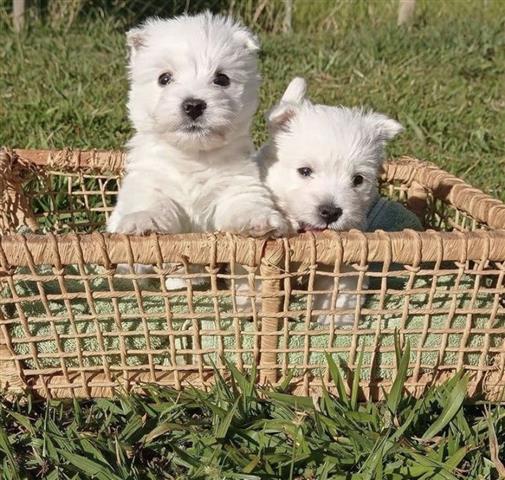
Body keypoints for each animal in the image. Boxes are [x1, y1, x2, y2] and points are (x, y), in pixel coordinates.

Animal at [106, 12, 288, 288]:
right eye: (164, 78)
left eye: (222, 79)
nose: (193, 105)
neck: (193, 155)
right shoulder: (152, 181)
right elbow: (153, 203)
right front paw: (142, 221)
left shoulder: (237, 183)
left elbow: (243, 203)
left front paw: (260, 220)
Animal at [258, 78, 404, 326]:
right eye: (305, 171)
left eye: (358, 179)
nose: (330, 212)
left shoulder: (347, 252)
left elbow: (341, 286)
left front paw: (337, 319)